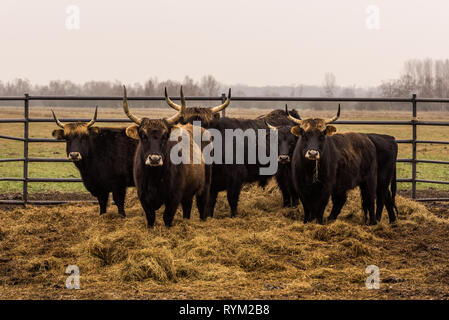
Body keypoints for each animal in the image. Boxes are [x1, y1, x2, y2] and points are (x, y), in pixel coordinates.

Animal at [122, 86, 212, 226]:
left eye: (165, 136)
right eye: (143, 135)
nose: (154, 159)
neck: (154, 176)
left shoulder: (174, 197)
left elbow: (167, 218)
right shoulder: (143, 196)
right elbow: (151, 218)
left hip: (205, 187)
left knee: (202, 206)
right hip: (188, 193)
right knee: (187, 208)